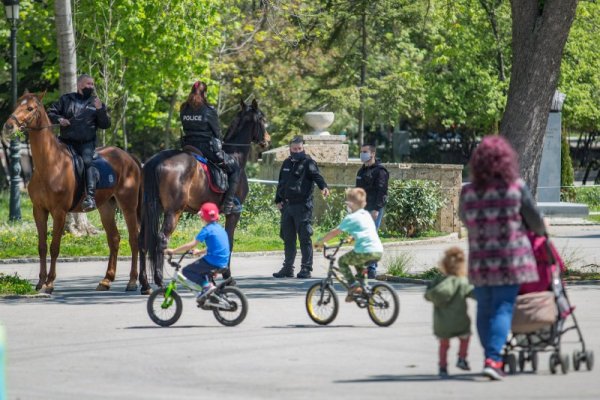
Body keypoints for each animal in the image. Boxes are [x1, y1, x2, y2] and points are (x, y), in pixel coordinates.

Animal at [1, 94, 143, 294]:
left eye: (30, 108)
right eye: (16, 105)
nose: (8, 126)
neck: (50, 164)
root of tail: (130, 157)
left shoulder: (59, 212)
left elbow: (54, 247)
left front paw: (50, 283)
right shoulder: (39, 211)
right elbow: (42, 246)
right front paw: (40, 282)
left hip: (128, 206)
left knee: (134, 239)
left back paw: (132, 281)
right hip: (107, 207)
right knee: (114, 239)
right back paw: (106, 280)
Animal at [138, 99, 270, 294]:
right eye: (262, 118)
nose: (267, 140)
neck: (235, 156)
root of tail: (156, 161)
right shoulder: (234, 213)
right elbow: (229, 241)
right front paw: (227, 277)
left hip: (150, 209)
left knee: (142, 240)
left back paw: (145, 284)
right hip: (173, 212)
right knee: (161, 239)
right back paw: (159, 280)